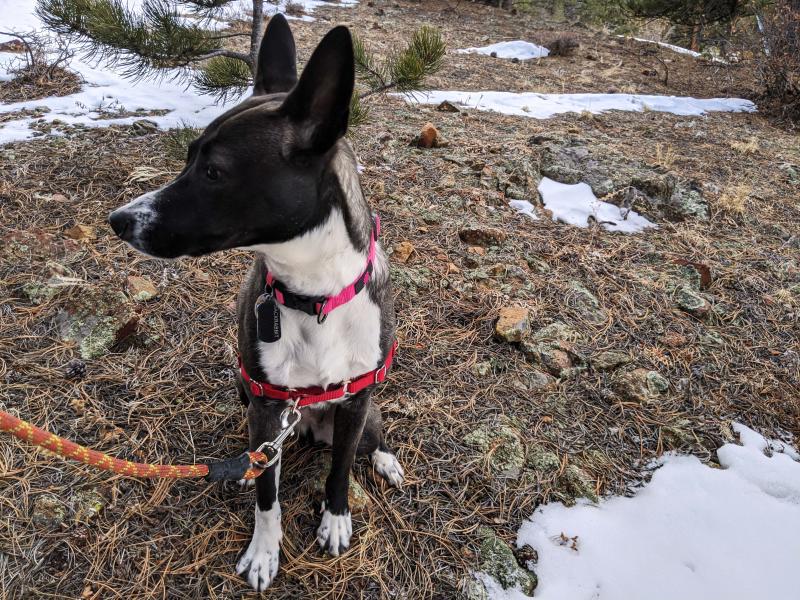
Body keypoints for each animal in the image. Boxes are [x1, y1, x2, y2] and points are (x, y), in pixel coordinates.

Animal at [106, 14, 404, 592]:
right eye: (189, 158)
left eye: (214, 172)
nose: (119, 220)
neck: (313, 298)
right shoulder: (266, 407)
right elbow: (269, 494)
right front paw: (265, 550)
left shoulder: (356, 401)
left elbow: (338, 473)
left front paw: (336, 519)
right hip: (247, 392)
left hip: (366, 413)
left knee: (366, 443)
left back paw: (384, 460)